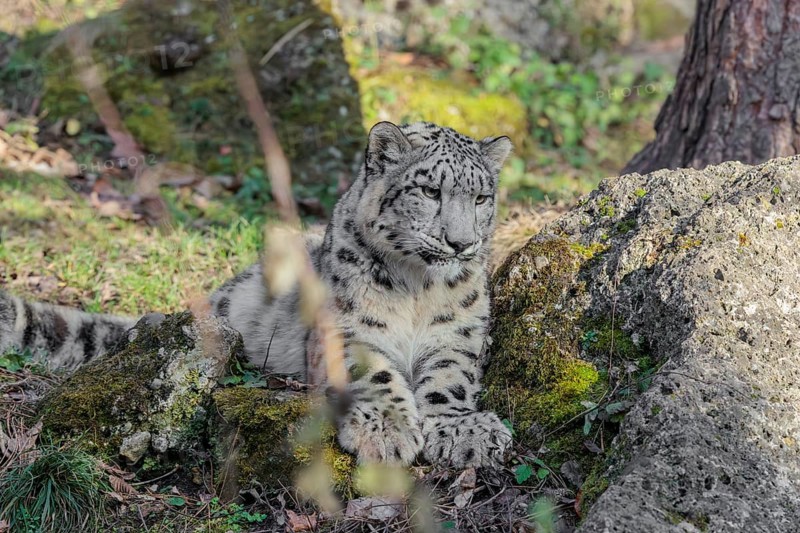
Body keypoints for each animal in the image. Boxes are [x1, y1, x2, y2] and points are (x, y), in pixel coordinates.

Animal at [0, 121, 514, 468]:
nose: (461, 243)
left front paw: (464, 431)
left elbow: (450, 379)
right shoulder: (345, 330)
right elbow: (373, 374)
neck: (416, 289)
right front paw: (386, 431)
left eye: (481, 198)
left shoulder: (458, 335)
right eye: (429, 190)